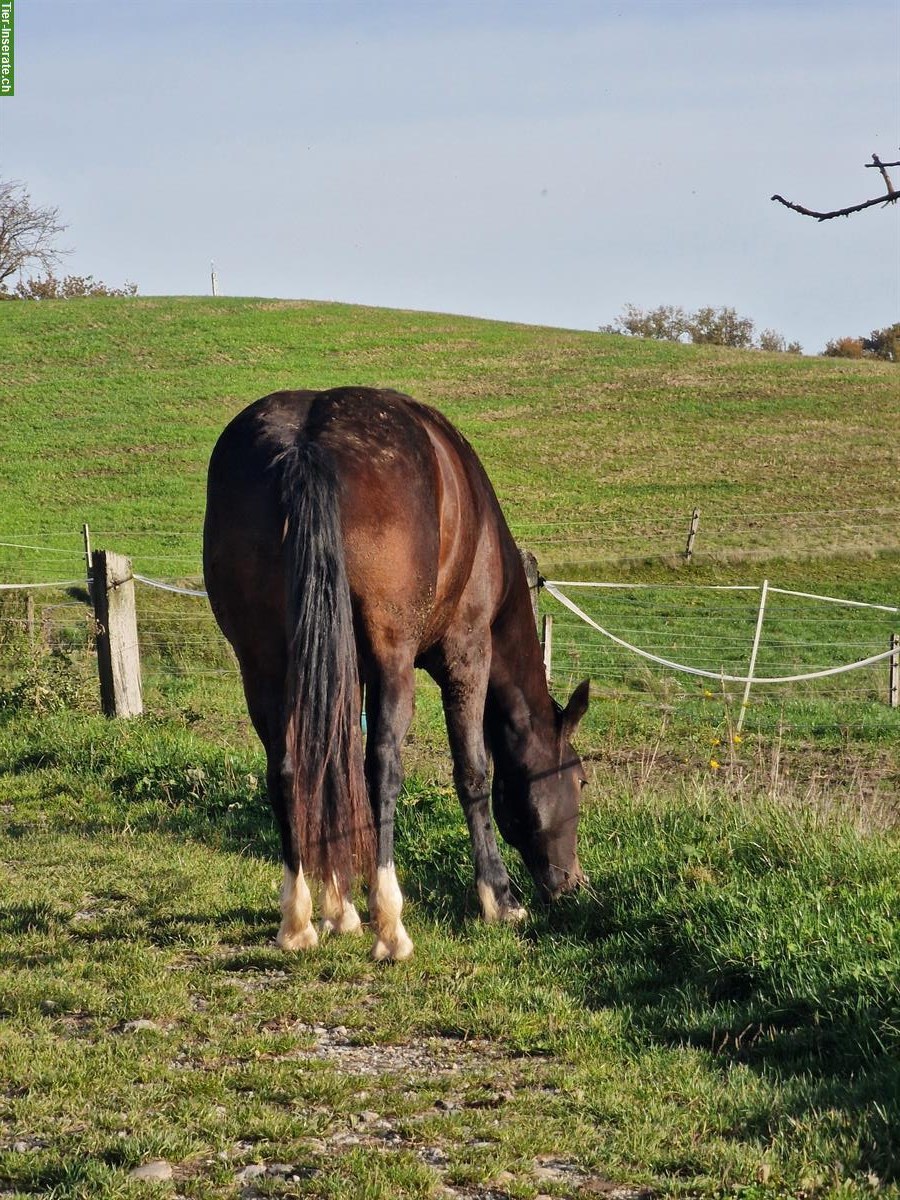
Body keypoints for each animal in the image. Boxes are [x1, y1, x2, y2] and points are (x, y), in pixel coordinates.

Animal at [207, 388, 595, 960]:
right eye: (581, 780)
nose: (572, 883)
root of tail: (307, 443)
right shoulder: (466, 655)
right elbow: (473, 772)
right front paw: (499, 897)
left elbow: (335, 766)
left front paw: (339, 908)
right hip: (392, 661)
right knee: (382, 767)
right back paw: (390, 923)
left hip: (262, 664)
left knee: (288, 768)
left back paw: (299, 920)